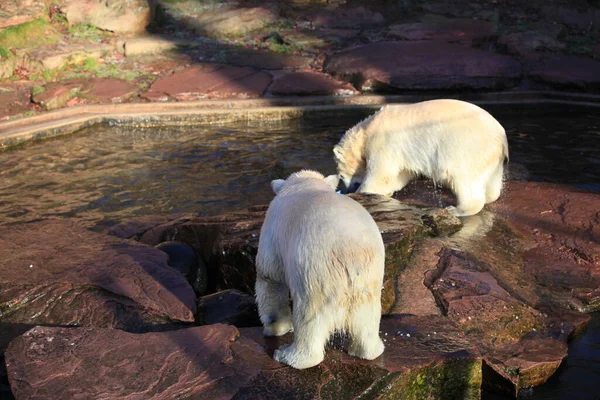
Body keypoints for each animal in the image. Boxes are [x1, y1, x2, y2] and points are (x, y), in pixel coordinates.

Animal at [255, 169, 386, 368]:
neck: (306, 183)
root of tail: (351, 258)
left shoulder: (273, 230)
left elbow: (270, 277)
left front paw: (275, 327)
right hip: (369, 279)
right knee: (367, 320)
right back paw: (368, 350)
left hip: (315, 274)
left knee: (308, 319)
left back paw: (286, 355)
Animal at [336, 98, 508, 216]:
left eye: (341, 175)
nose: (348, 189)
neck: (367, 130)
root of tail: (501, 137)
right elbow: (401, 173)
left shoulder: (383, 141)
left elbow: (381, 173)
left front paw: (361, 193)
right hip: (492, 157)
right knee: (491, 180)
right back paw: (489, 196)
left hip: (467, 148)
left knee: (463, 178)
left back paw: (457, 209)